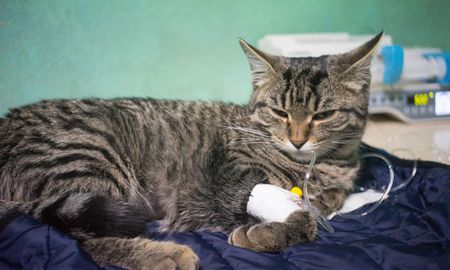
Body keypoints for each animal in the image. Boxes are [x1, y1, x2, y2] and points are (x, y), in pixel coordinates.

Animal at [0, 32, 382, 268]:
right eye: (279, 112)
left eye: (323, 115)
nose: (298, 139)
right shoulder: (229, 179)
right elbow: (301, 219)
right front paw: (269, 231)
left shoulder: (326, 195)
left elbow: (317, 210)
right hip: (91, 158)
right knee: (88, 240)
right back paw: (163, 255)